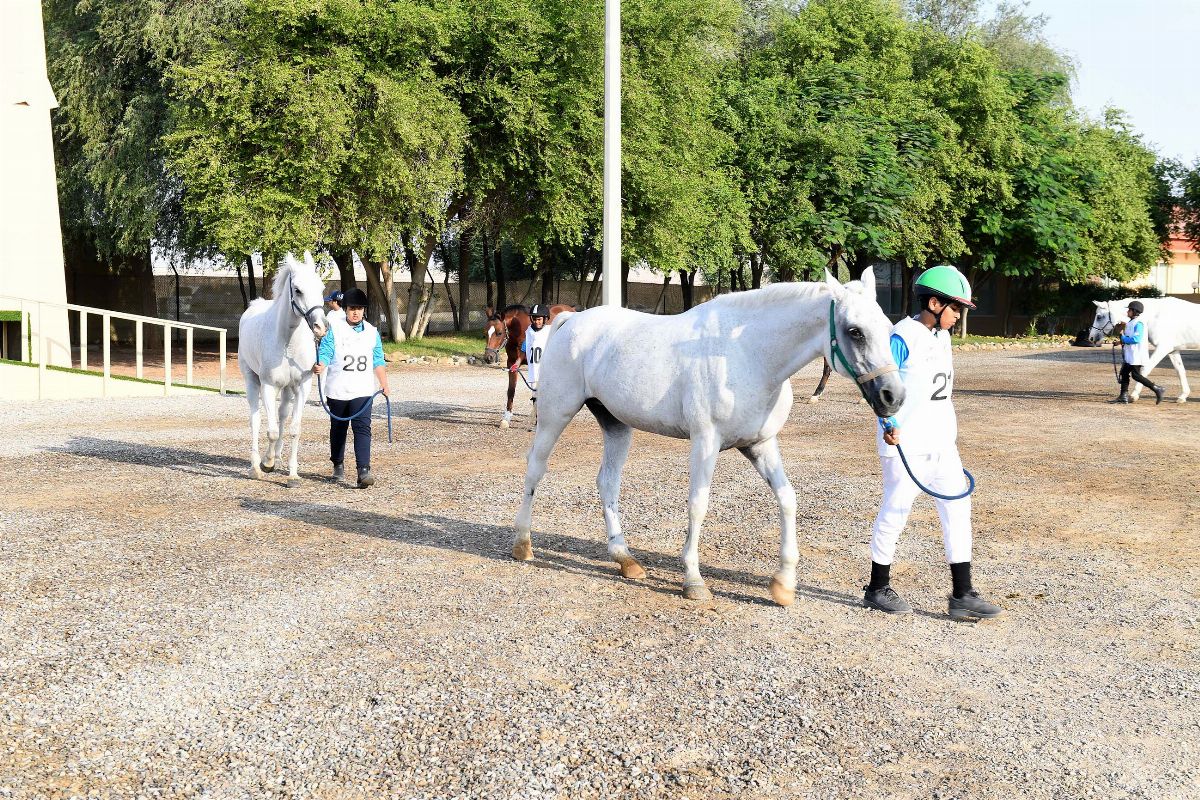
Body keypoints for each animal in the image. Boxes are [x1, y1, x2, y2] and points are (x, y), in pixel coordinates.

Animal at [237, 253, 328, 484]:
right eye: (297, 289)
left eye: (321, 287)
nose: (321, 327)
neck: (287, 342)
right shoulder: (268, 386)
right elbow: (271, 432)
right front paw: (266, 463)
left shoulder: (303, 386)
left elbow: (294, 429)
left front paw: (293, 474)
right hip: (252, 380)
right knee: (256, 420)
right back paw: (256, 466)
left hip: (287, 389)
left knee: (282, 415)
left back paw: (277, 456)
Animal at [511, 268, 902, 606]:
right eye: (854, 331)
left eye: (887, 328)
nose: (893, 396)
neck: (748, 355)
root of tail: (569, 321)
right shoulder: (706, 442)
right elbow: (698, 505)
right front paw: (694, 581)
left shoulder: (760, 445)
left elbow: (788, 499)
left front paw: (784, 584)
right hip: (556, 415)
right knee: (535, 469)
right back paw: (523, 544)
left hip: (617, 425)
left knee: (607, 482)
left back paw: (626, 560)